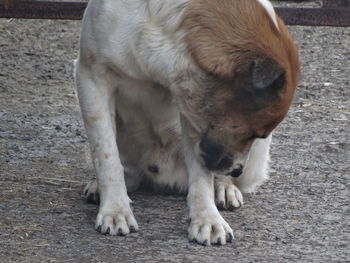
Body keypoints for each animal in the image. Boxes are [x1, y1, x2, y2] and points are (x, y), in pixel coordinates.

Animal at [75, 0, 300, 246]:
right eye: (252, 133)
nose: (237, 170)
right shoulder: (92, 77)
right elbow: (107, 158)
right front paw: (115, 209)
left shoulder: (192, 108)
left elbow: (201, 176)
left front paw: (208, 219)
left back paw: (224, 188)